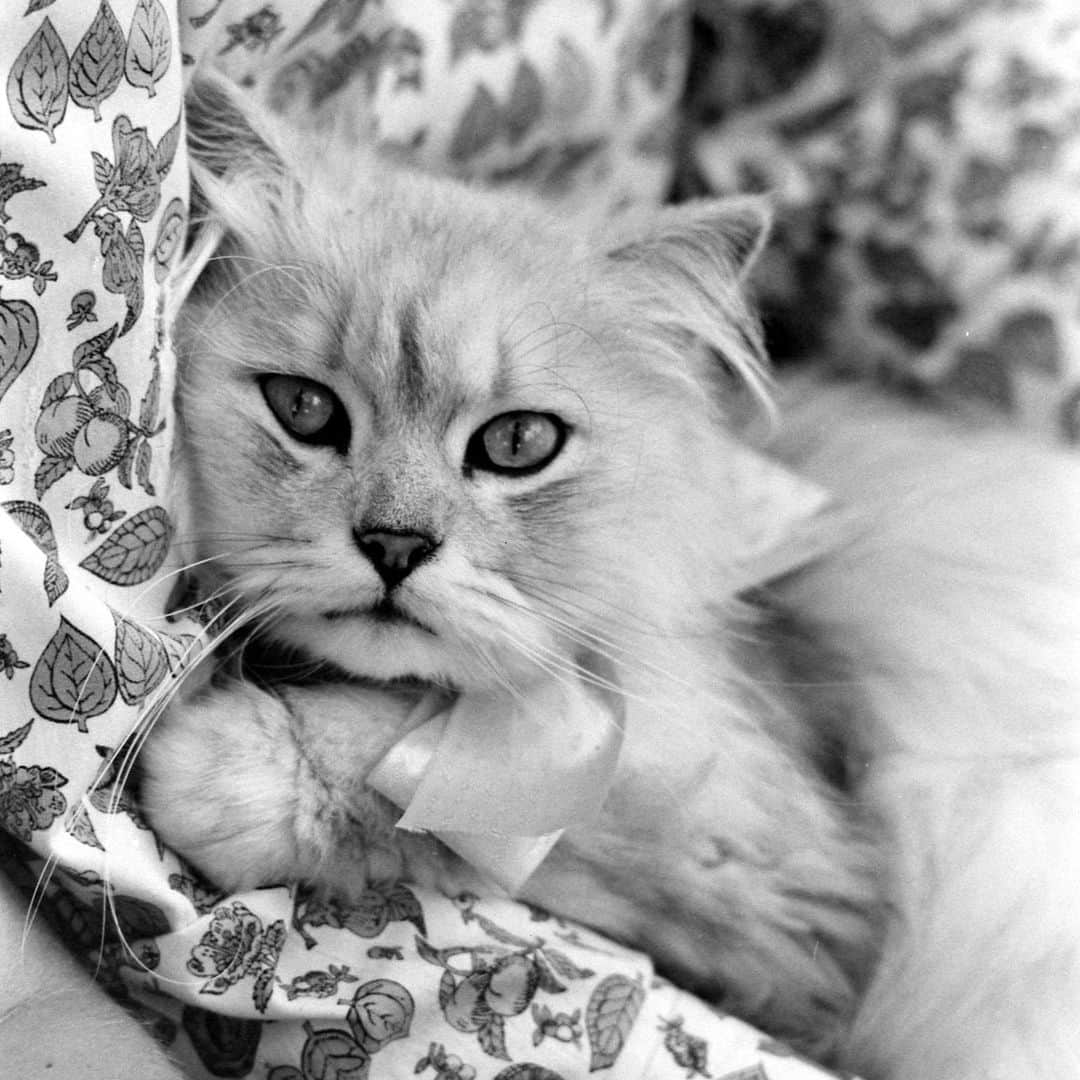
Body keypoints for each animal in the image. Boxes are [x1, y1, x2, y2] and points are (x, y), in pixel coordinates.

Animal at [135, 78, 1080, 1080]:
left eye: (517, 443)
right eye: (306, 409)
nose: (394, 545)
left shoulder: (783, 886)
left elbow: (461, 799)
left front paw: (219, 772)